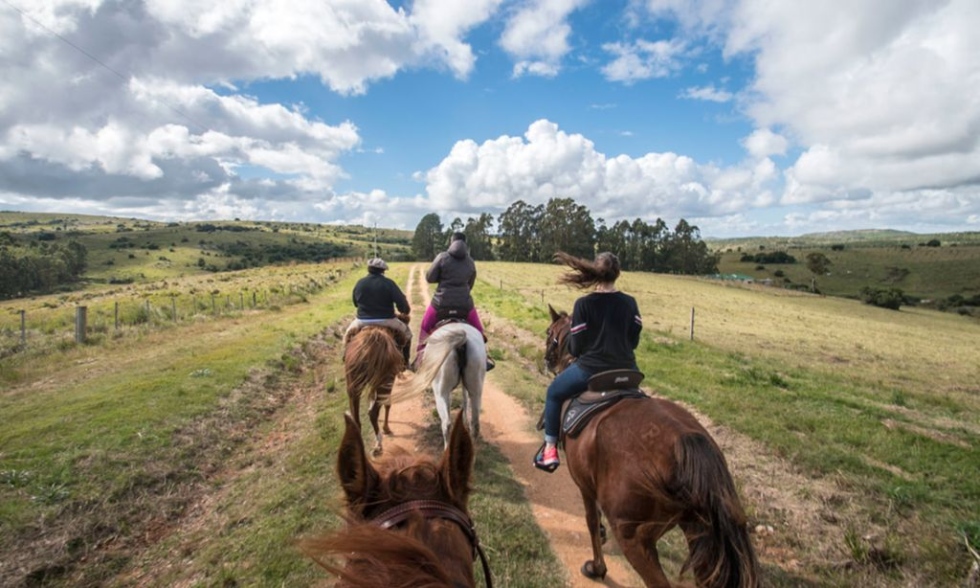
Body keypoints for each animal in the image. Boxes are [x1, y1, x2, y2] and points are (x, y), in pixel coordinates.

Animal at [344, 322, 406, 454]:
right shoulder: (386, 383)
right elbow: (387, 404)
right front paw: (386, 428)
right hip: (385, 383)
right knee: (373, 413)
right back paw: (378, 443)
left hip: (353, 385)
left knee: (356, 419)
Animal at [544, 306, 756, 584]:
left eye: (549, 332)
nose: (546, 359)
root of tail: (685, 443)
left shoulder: (584, 484)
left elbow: (591, 520)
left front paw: (598, 567)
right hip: (699, 532)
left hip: (633, 536)